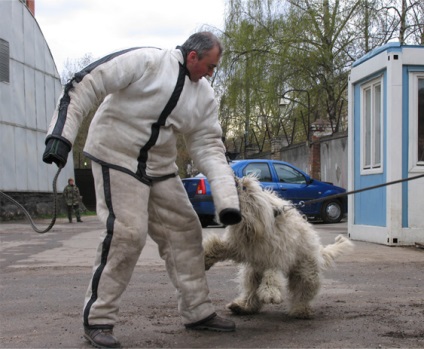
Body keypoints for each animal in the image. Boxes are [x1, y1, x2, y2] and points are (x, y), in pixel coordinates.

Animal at [204, 174, 352, 318]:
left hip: (305, 271)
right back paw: (243, 306)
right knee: (251, 290)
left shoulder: (277, 257)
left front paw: (270, 293)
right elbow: (217, 246)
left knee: (303, 291)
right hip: (252, 272)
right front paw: (205, 257)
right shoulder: (239, 246)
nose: (233, 179)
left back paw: (300, 310)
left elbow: (272, 274)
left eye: (245, 187)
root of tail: (319, 251)